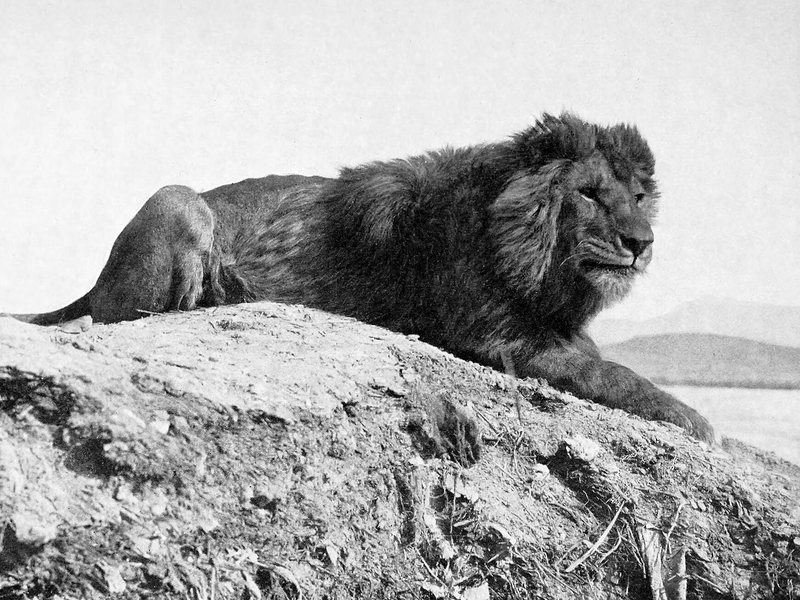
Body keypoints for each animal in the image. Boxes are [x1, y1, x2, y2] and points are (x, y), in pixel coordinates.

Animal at [9, 113, 714, 442]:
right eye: (590, 194)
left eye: (640, 197)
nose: (641, 244)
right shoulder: (499, 338)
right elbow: (615, 375)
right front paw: (699, 422)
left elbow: (609, 363)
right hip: (177, 199)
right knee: (121, 310)